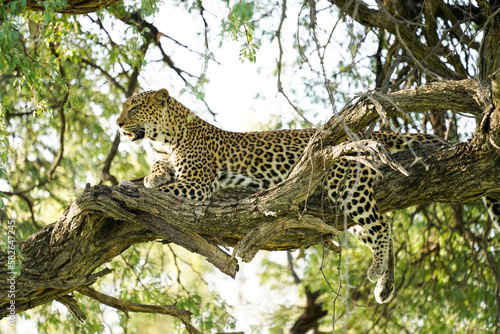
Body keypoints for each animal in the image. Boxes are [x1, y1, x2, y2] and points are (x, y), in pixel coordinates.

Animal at [118, 88, 500, 302]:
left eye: (134, 108)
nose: (118, 123)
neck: (167, 138)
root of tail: (380, 133)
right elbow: (157, 172)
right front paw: (151, 176)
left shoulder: (197, 184)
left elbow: (164, 188)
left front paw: (132, 187)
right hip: (348, 208)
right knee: (384, 229)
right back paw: (384, 284)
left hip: (347, 186)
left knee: (383, 227)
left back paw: (377, 271)